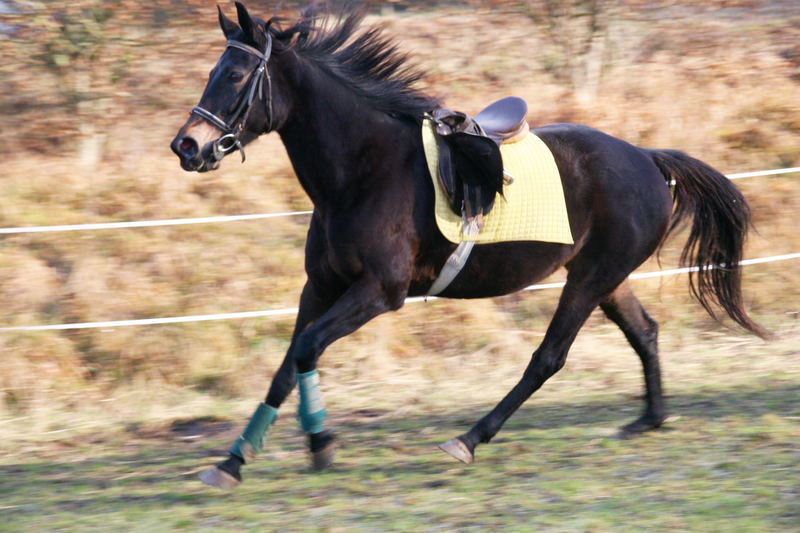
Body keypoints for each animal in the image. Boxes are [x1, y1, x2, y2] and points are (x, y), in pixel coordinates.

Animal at [170, 3, 764, 486]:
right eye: (212, 72)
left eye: (236, 74)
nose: (187, 146)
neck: (361, 172)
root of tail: (649, 158)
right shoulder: (320, 287)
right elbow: (288, 363)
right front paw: (233, 460)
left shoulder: (379, 292)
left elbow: (308, 348)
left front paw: (319, 444)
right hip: (606, 279)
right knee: (645, 333)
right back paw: (650, 419)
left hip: (590, 279)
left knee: (548, 358)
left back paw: (470, 438)